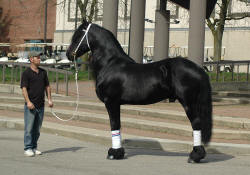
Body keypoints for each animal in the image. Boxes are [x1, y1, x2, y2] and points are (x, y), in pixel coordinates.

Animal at [67, 20, 213, 163]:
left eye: (78, 35)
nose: (69, 54)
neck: (110, 64)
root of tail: (199, 69)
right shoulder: (116, 104)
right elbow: (118, 124)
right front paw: (118, 152)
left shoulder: (111, 102)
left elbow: (114, 124)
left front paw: (114, 153)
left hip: (188, 103)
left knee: (196, 123)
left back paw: (195, 156)